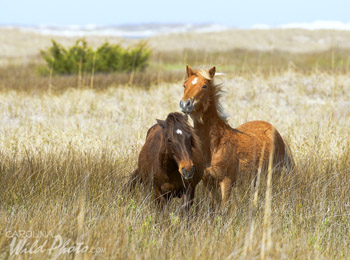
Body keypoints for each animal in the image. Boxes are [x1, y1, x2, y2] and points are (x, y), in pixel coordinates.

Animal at [179, 66, 294, 204]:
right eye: (185, 85)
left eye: (204, 86)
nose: (185, 104)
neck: (215, 145)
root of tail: (275, 131)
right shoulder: (208, 183)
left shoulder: (227, 182)